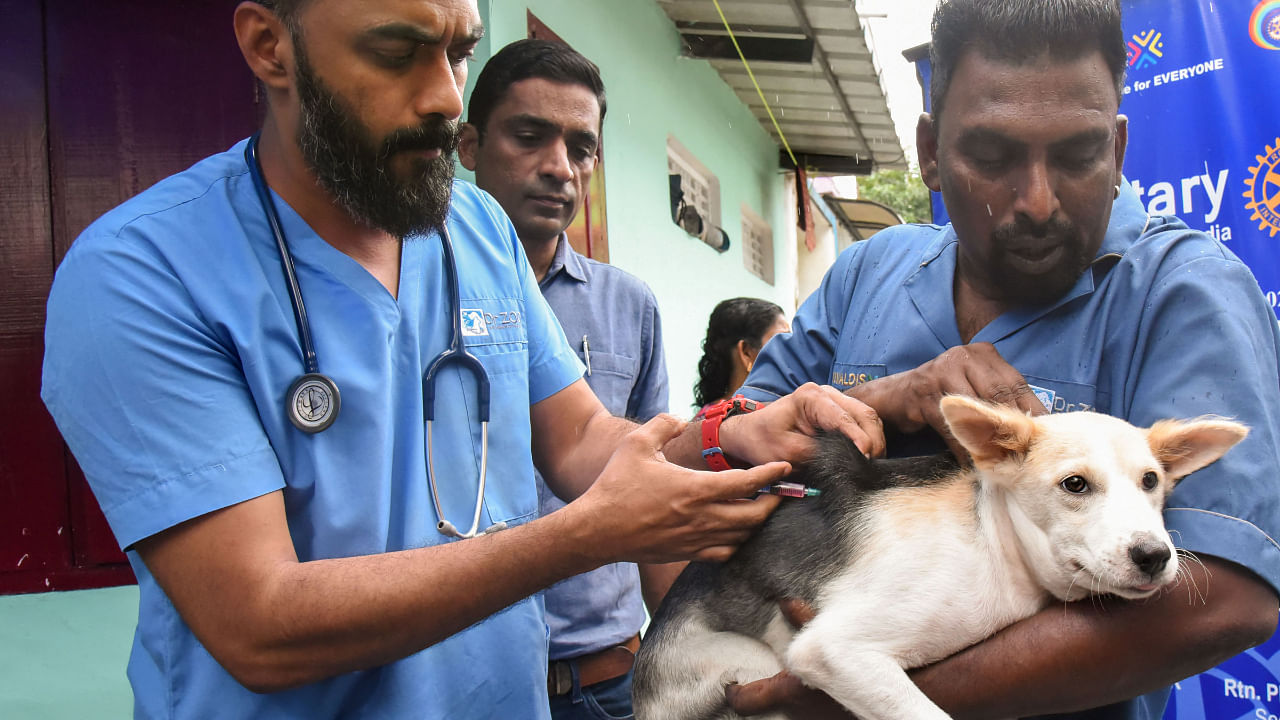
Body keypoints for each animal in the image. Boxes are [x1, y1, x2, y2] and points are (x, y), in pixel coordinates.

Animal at [634, 394, 1244, 717]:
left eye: (1151, 481)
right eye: (1075, 485)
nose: (1154, 556)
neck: (996, 543)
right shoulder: (834, 650)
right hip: (749, 670)